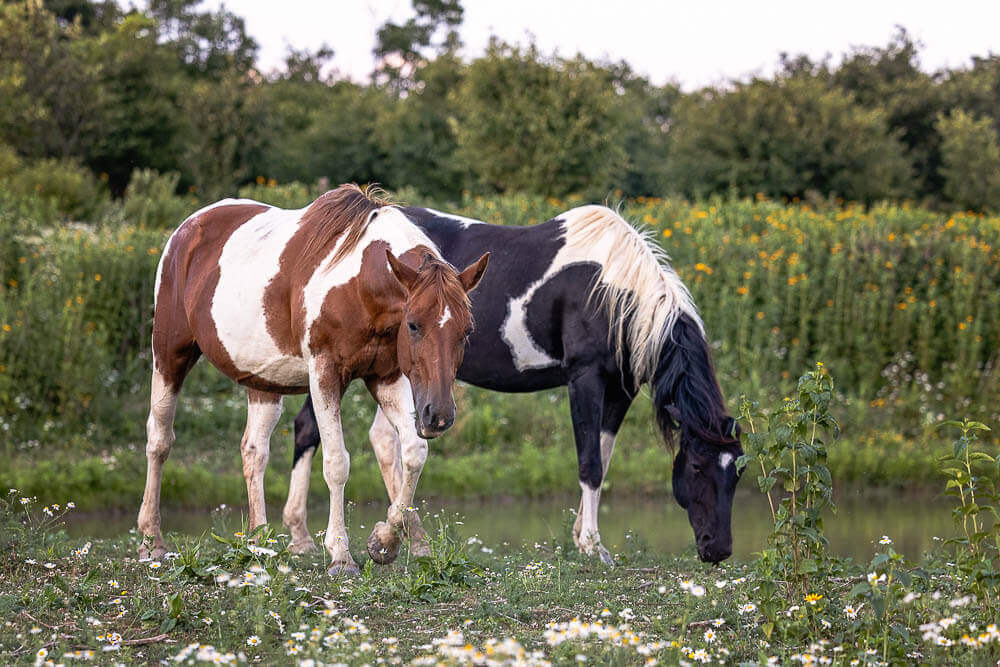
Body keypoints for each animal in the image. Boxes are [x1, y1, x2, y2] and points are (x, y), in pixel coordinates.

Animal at [136, 185, 489, 574]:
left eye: (467, 331)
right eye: (413, 325)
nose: (438, 415)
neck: (360, 286)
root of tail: (187, 230)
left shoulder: (386, 377)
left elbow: (413, 452)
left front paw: (384, 541)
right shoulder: (325, 373)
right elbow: (337, 463)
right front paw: (341, 554)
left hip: (262, 383)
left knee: (253, 451)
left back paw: (258, 544)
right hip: (169, 355)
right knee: (159, 440)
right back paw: (152, 541)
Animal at [287, 204, 743, 564]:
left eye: (737, 472)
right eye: (697, 466)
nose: (717, 549)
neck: (612, 290)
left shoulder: (621, 389)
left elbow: (603, 455)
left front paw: (582, 536)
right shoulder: (585, 378)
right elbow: (590, 464)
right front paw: (593, 546)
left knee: (384, 440)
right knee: (313, 430)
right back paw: (303, 537)